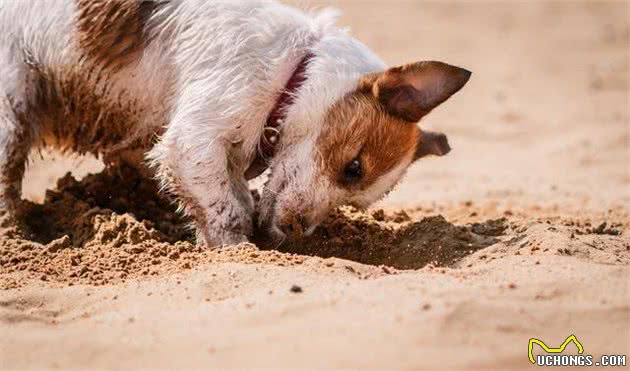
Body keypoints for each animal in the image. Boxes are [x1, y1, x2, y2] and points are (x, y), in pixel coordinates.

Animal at [0, 1, 472, 248]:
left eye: (354, 202)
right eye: (353, 168)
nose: (296, 232)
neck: (291, 70)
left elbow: (235, 196)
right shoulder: (194, 139)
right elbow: (226, 208)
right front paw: (237, 250)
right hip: (11, 110)